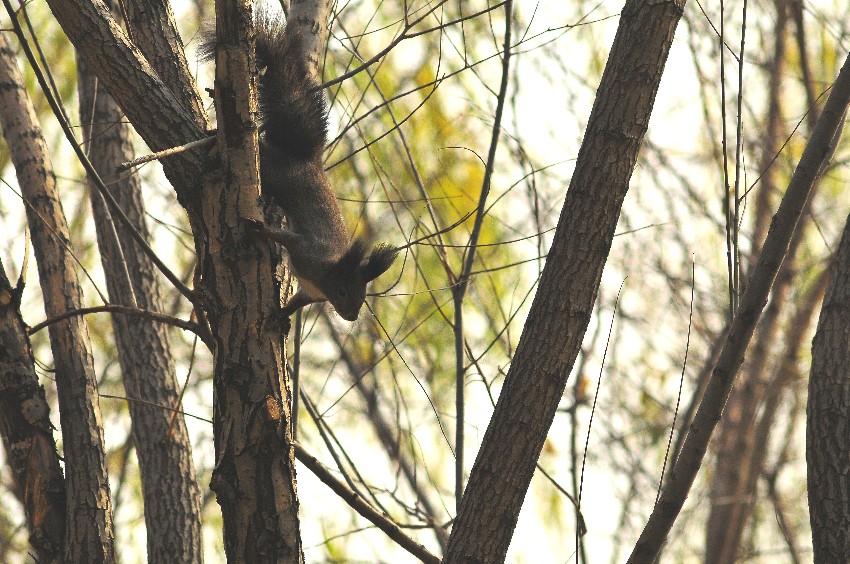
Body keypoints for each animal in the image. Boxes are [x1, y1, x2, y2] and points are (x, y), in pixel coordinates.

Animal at [205, 13, 398, 322]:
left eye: (363, 295)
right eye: (343, 291)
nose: (352, 317)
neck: (326, 277)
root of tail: (308, 161)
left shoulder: (310, 292)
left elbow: (296, 303)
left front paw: (280, 316)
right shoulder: (307, 254)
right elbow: (285, 238)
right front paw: (260, 229)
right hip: (274, 170)